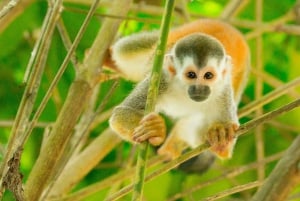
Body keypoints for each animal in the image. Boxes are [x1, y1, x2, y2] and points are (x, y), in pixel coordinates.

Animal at [109, 19, 250, 163]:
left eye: (208, 75)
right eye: (191, 75)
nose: (199, 89)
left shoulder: (224, 91)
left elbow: (221, 151)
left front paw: (220, 135)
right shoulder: (161, 79)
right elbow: (120, 115)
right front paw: (154, 130)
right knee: (123, 50)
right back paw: (109, 58)